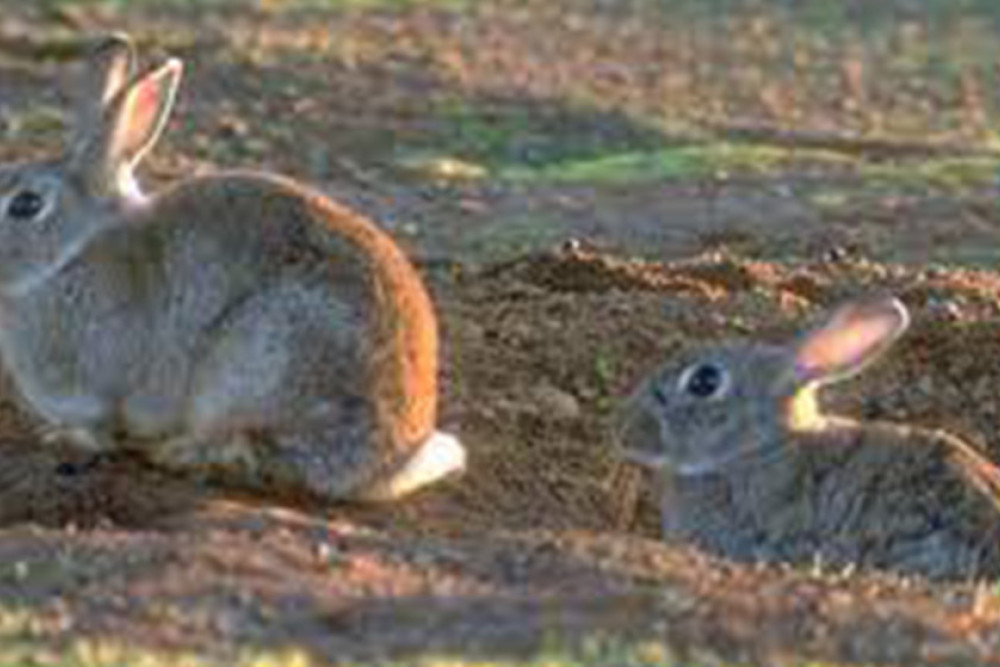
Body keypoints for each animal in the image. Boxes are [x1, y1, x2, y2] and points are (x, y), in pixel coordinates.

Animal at [0, 32, 464, 500]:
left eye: (26, 204)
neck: (70, 254)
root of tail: (392, 462)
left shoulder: (105, 388)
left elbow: (103, 429)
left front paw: (65, 439)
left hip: (259, 361)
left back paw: (180, 454)